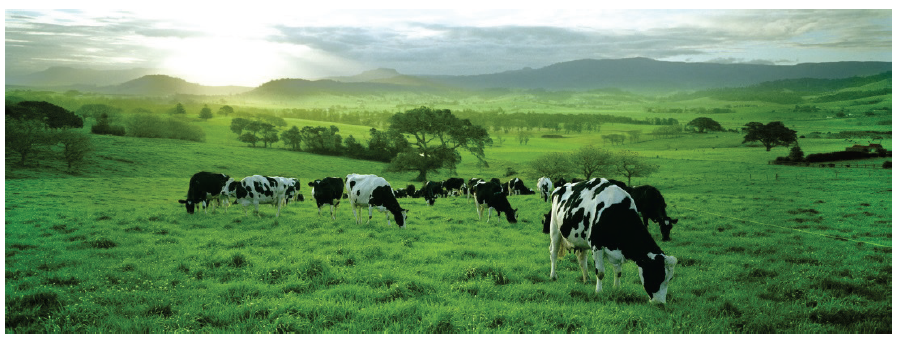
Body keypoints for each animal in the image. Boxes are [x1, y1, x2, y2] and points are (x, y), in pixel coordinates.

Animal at [544, 179, 676, 304]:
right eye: (656, 274)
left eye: (669, 279)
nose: (660, 303)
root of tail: (561, 187)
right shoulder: (596, 245)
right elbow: (600, 272)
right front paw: (599, 292)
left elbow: (618, 272)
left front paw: (616, 289)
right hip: (555, 229)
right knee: (553, 253)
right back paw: (553, 276)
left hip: (581, 239)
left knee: (582, 259)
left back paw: (587, 279)